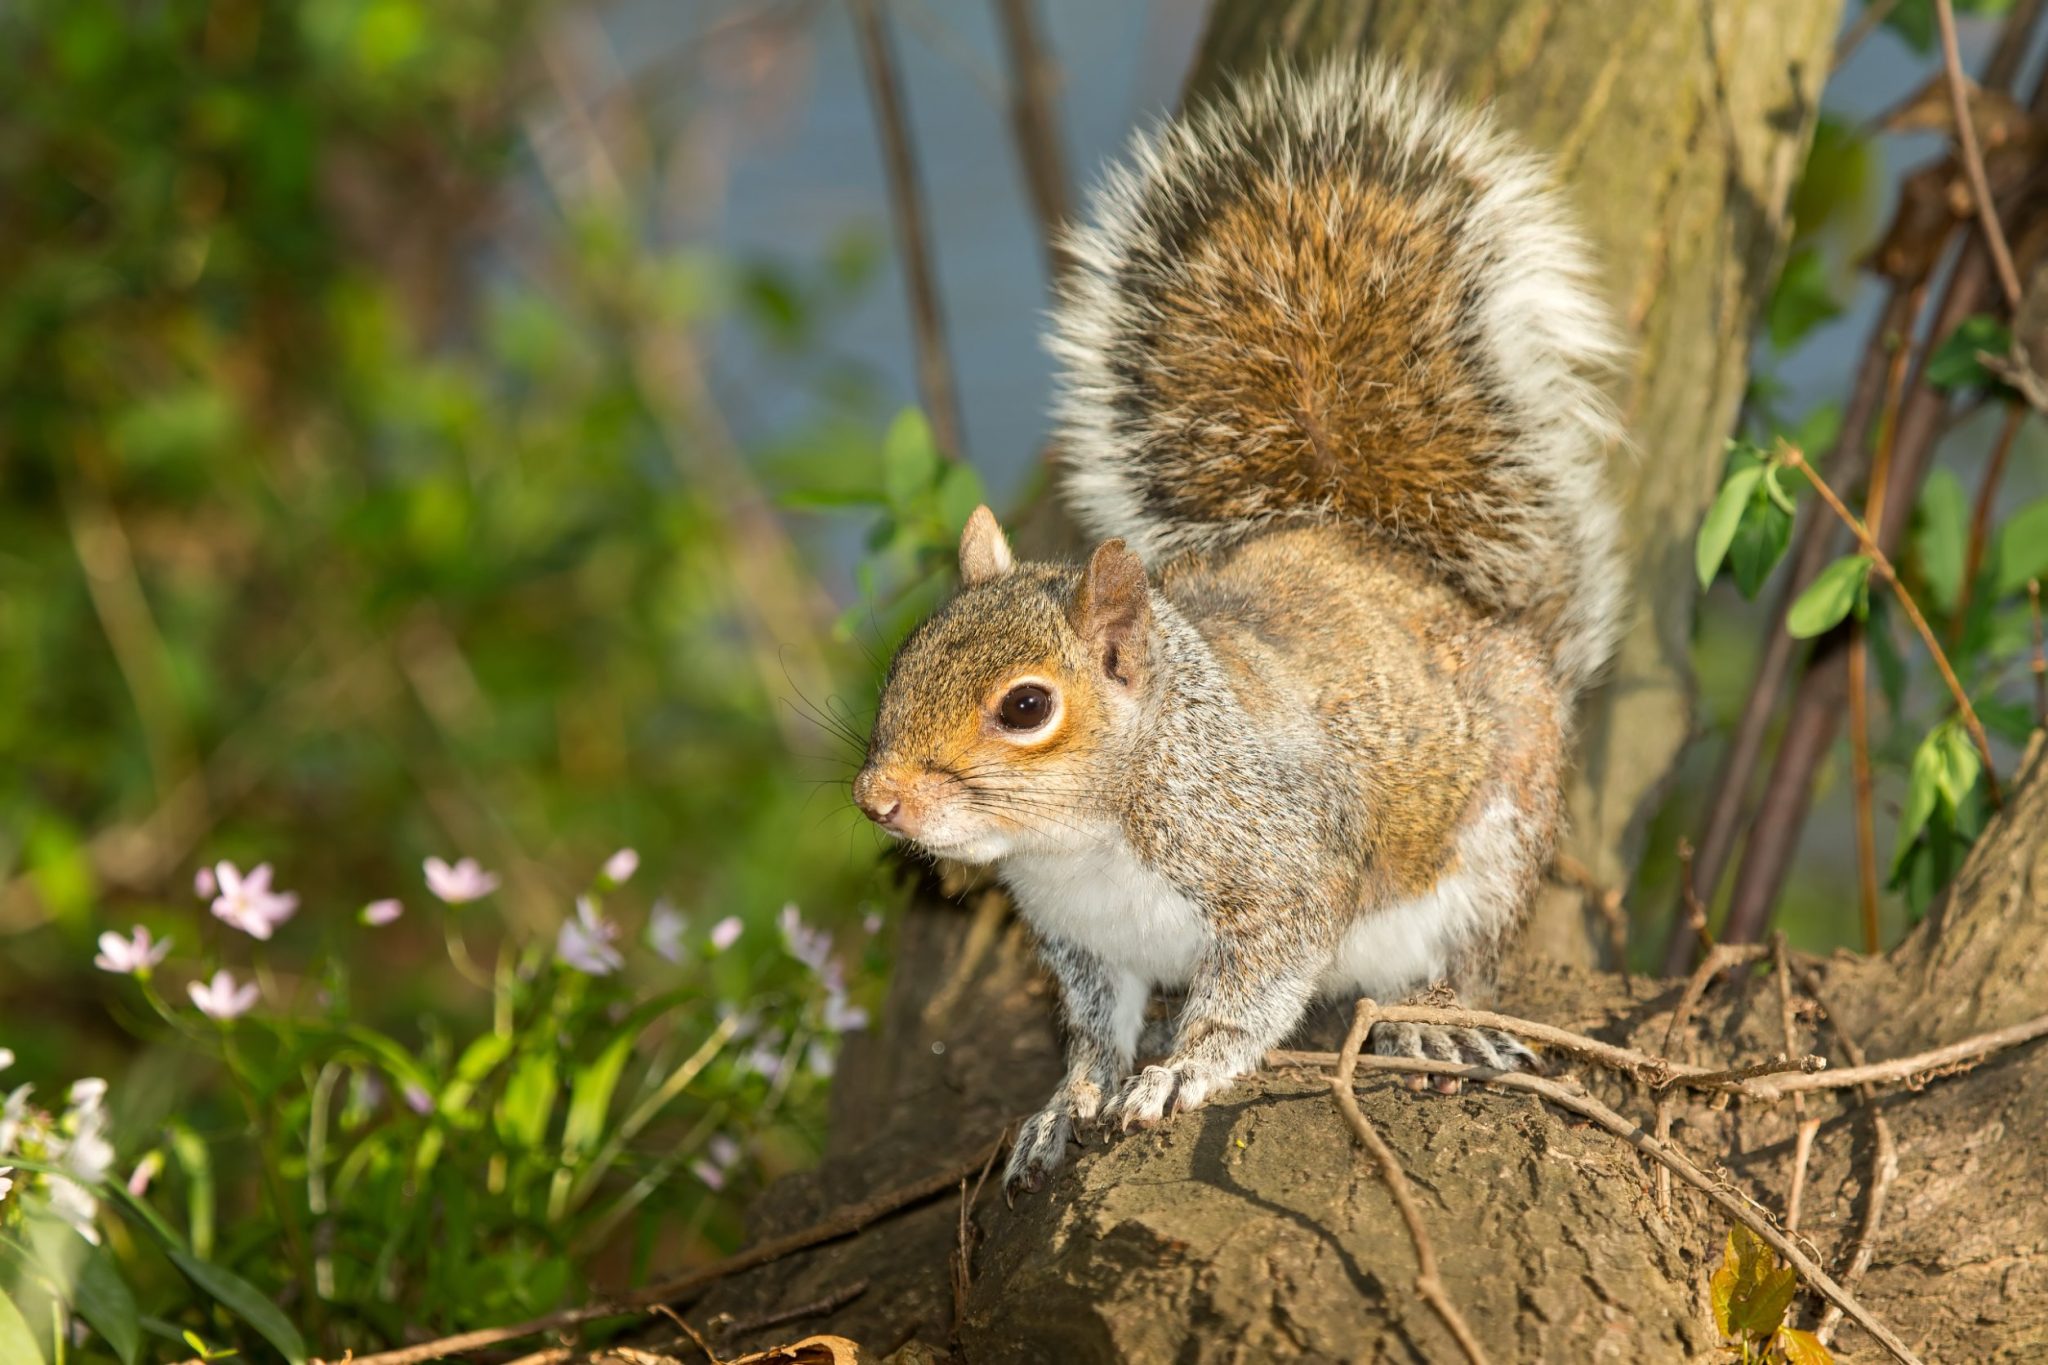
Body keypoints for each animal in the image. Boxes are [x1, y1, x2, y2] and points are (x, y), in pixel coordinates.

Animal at [847, 61, 1613, 1195]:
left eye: (1026, 706)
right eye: (906, 656)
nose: (878, 798)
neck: (1079, 843)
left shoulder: (1279, 866)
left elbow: (1253, 990)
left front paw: (1180, 1070)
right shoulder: (1088, 948)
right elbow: (1094, 1034)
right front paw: (1066, 1101)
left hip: (1498, 844)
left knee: (1469, 954)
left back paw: (1430, 1017)